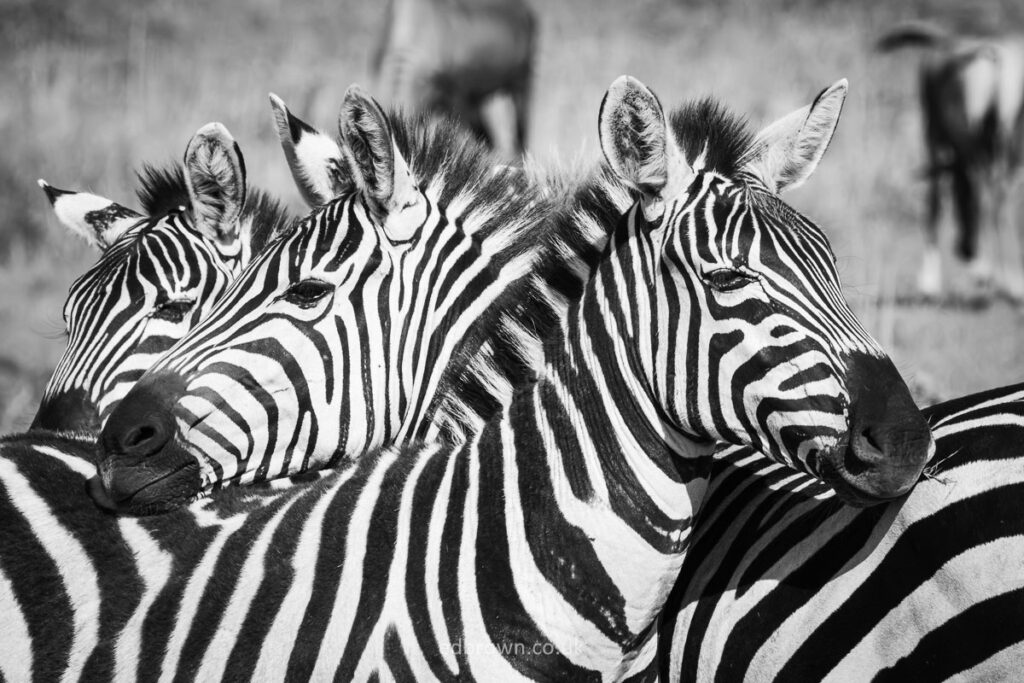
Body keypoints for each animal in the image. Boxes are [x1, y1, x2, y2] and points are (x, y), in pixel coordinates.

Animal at [878, 20, 1024, 300]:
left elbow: (934, 200)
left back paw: (995, 277)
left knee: (987, 194)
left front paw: (929, 283)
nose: (965, 249)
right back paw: (1009, 281)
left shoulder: (935, 136)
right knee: (999, 196)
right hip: (1002, 143)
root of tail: (991, 53)